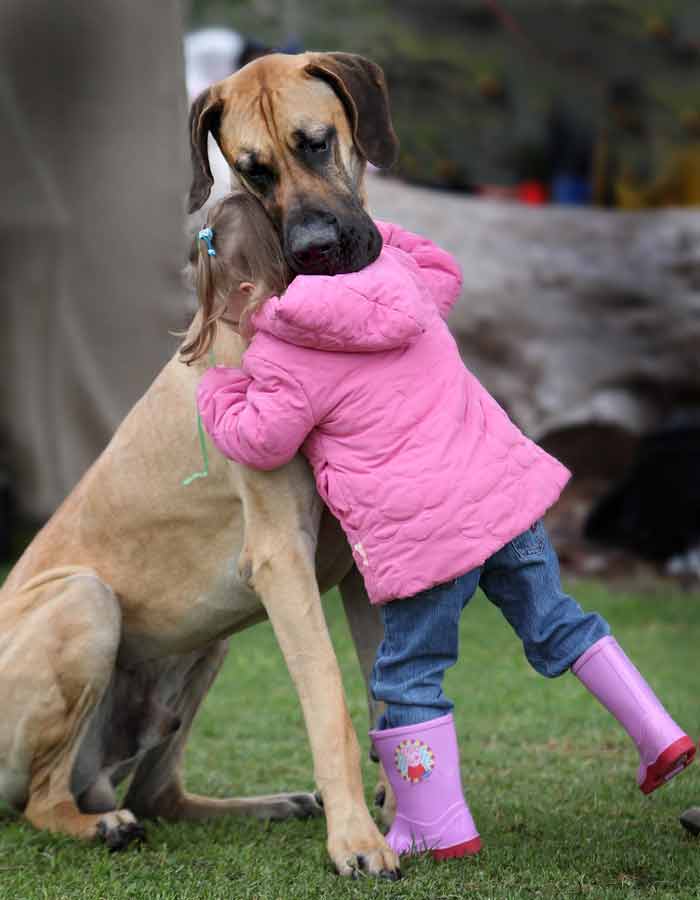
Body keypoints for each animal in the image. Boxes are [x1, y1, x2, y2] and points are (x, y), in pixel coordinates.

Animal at [0, 52, 400, 876]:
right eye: (251, 171)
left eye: (317, 143)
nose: (316, 248)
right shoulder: (281, 559)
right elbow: (331, 705)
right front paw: (357, 840)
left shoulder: (360, 561)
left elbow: (392, 691)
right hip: (86, 601)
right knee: (44, 801)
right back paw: (101, 826)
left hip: (205, 641)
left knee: (159, 792)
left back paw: (261, 806)